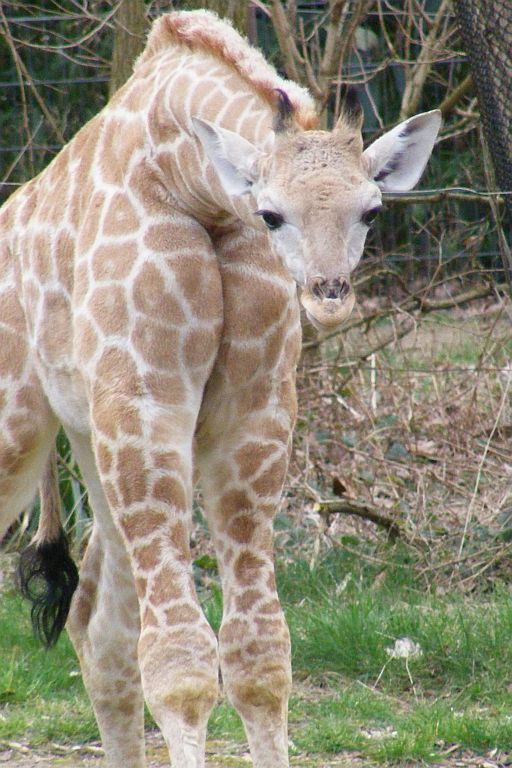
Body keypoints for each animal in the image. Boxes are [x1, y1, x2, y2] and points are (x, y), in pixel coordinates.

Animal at [0, 10, 441, 768]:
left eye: (372, 211)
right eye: (270, 214)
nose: (328, 295)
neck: (191, 185)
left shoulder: (251, 419)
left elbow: (258, 657)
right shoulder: (149, 407)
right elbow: (179, 665)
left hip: (90, 440)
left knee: (97, 623)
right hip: (20, 425)